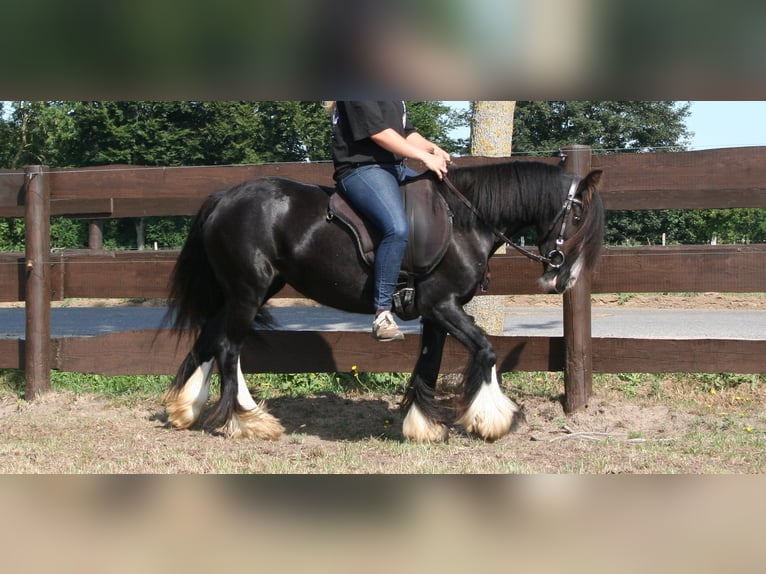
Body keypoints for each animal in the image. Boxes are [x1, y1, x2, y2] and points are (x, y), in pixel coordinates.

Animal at [164, 162, 608, 446]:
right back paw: (247, 421)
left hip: (249, 291)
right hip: (248, 291)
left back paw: (187, 408)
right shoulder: (443, 306)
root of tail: (225, 197)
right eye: (577, 215)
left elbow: (430, 363)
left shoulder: (435, 314)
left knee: (212, 340)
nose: (564, 278)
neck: (464, 222)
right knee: (228, 347)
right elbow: (486, 349)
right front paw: (494, 419)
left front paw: (423, 425)